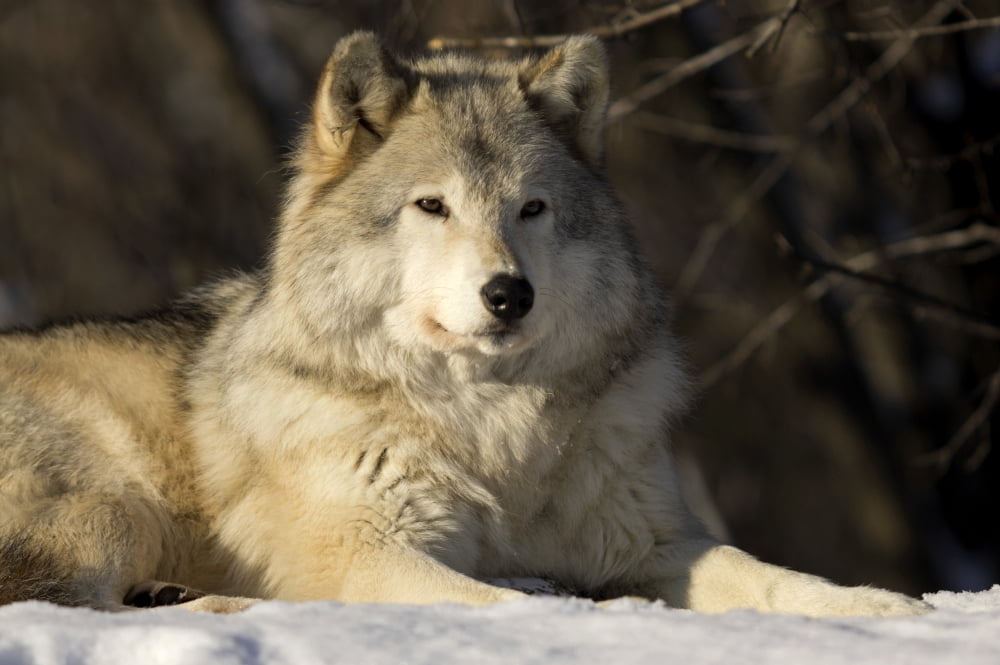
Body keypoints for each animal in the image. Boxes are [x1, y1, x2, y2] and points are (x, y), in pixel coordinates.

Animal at [0, 32, 928, 616]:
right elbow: (508, 604)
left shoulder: (652, 540)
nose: (508, 294)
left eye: (532, 208)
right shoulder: (370, 547)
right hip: (116, 503)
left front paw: (880, 608)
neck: (491, 433)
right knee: (63, 601)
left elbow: (767, 573)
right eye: (432, 206)